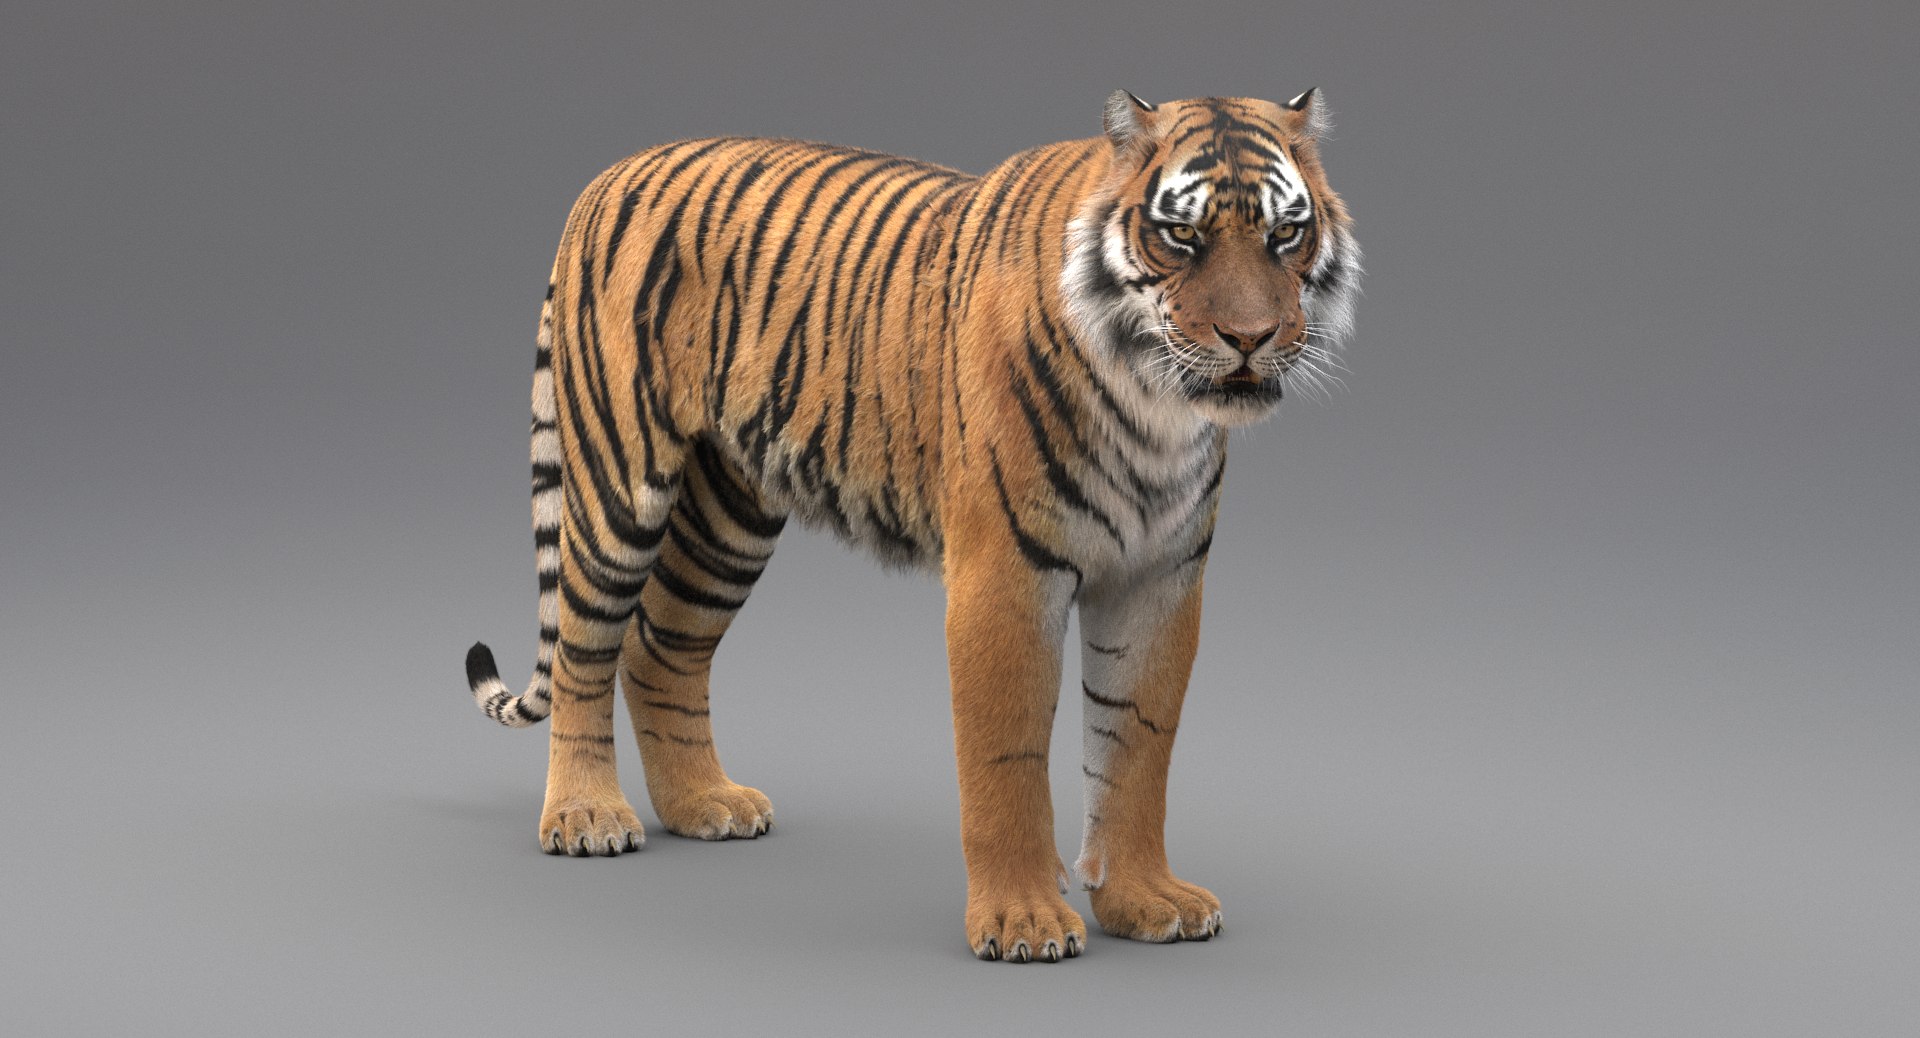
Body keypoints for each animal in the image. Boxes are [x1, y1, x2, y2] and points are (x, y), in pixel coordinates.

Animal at [464, 89, 1361, 963]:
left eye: (1285, 233)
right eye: (1182, 235)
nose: (1250, 339)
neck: (1154, 406)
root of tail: (609, 176)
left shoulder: (1160, 578)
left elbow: (1137, 744)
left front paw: (1146, 900)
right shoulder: (1006, 573)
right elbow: (1007, 754)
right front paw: (1023, 922)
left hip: (730, 515)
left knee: (661, 647)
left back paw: (705, 804)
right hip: (621, 480)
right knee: (584, 648)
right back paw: (587, 817)